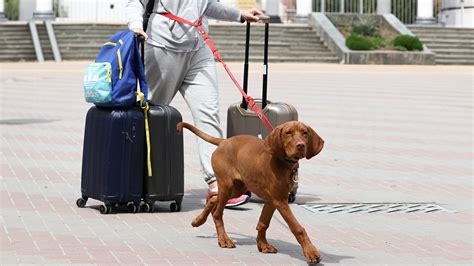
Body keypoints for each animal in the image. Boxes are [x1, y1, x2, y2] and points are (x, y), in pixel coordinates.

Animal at [176, 121, 324, 262]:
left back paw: (198, 220)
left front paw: (263, 245)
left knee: (213, 198)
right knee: (217, 213)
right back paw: (223, 239)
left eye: (305, 133)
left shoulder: (272, 200)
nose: (301, 145)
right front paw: (310, 252)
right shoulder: (280, 201)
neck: (283, 163)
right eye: (288, 133)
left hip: (238, 187)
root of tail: (223, 141)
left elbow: (263, 223)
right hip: (227, 185)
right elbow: (297, 228)